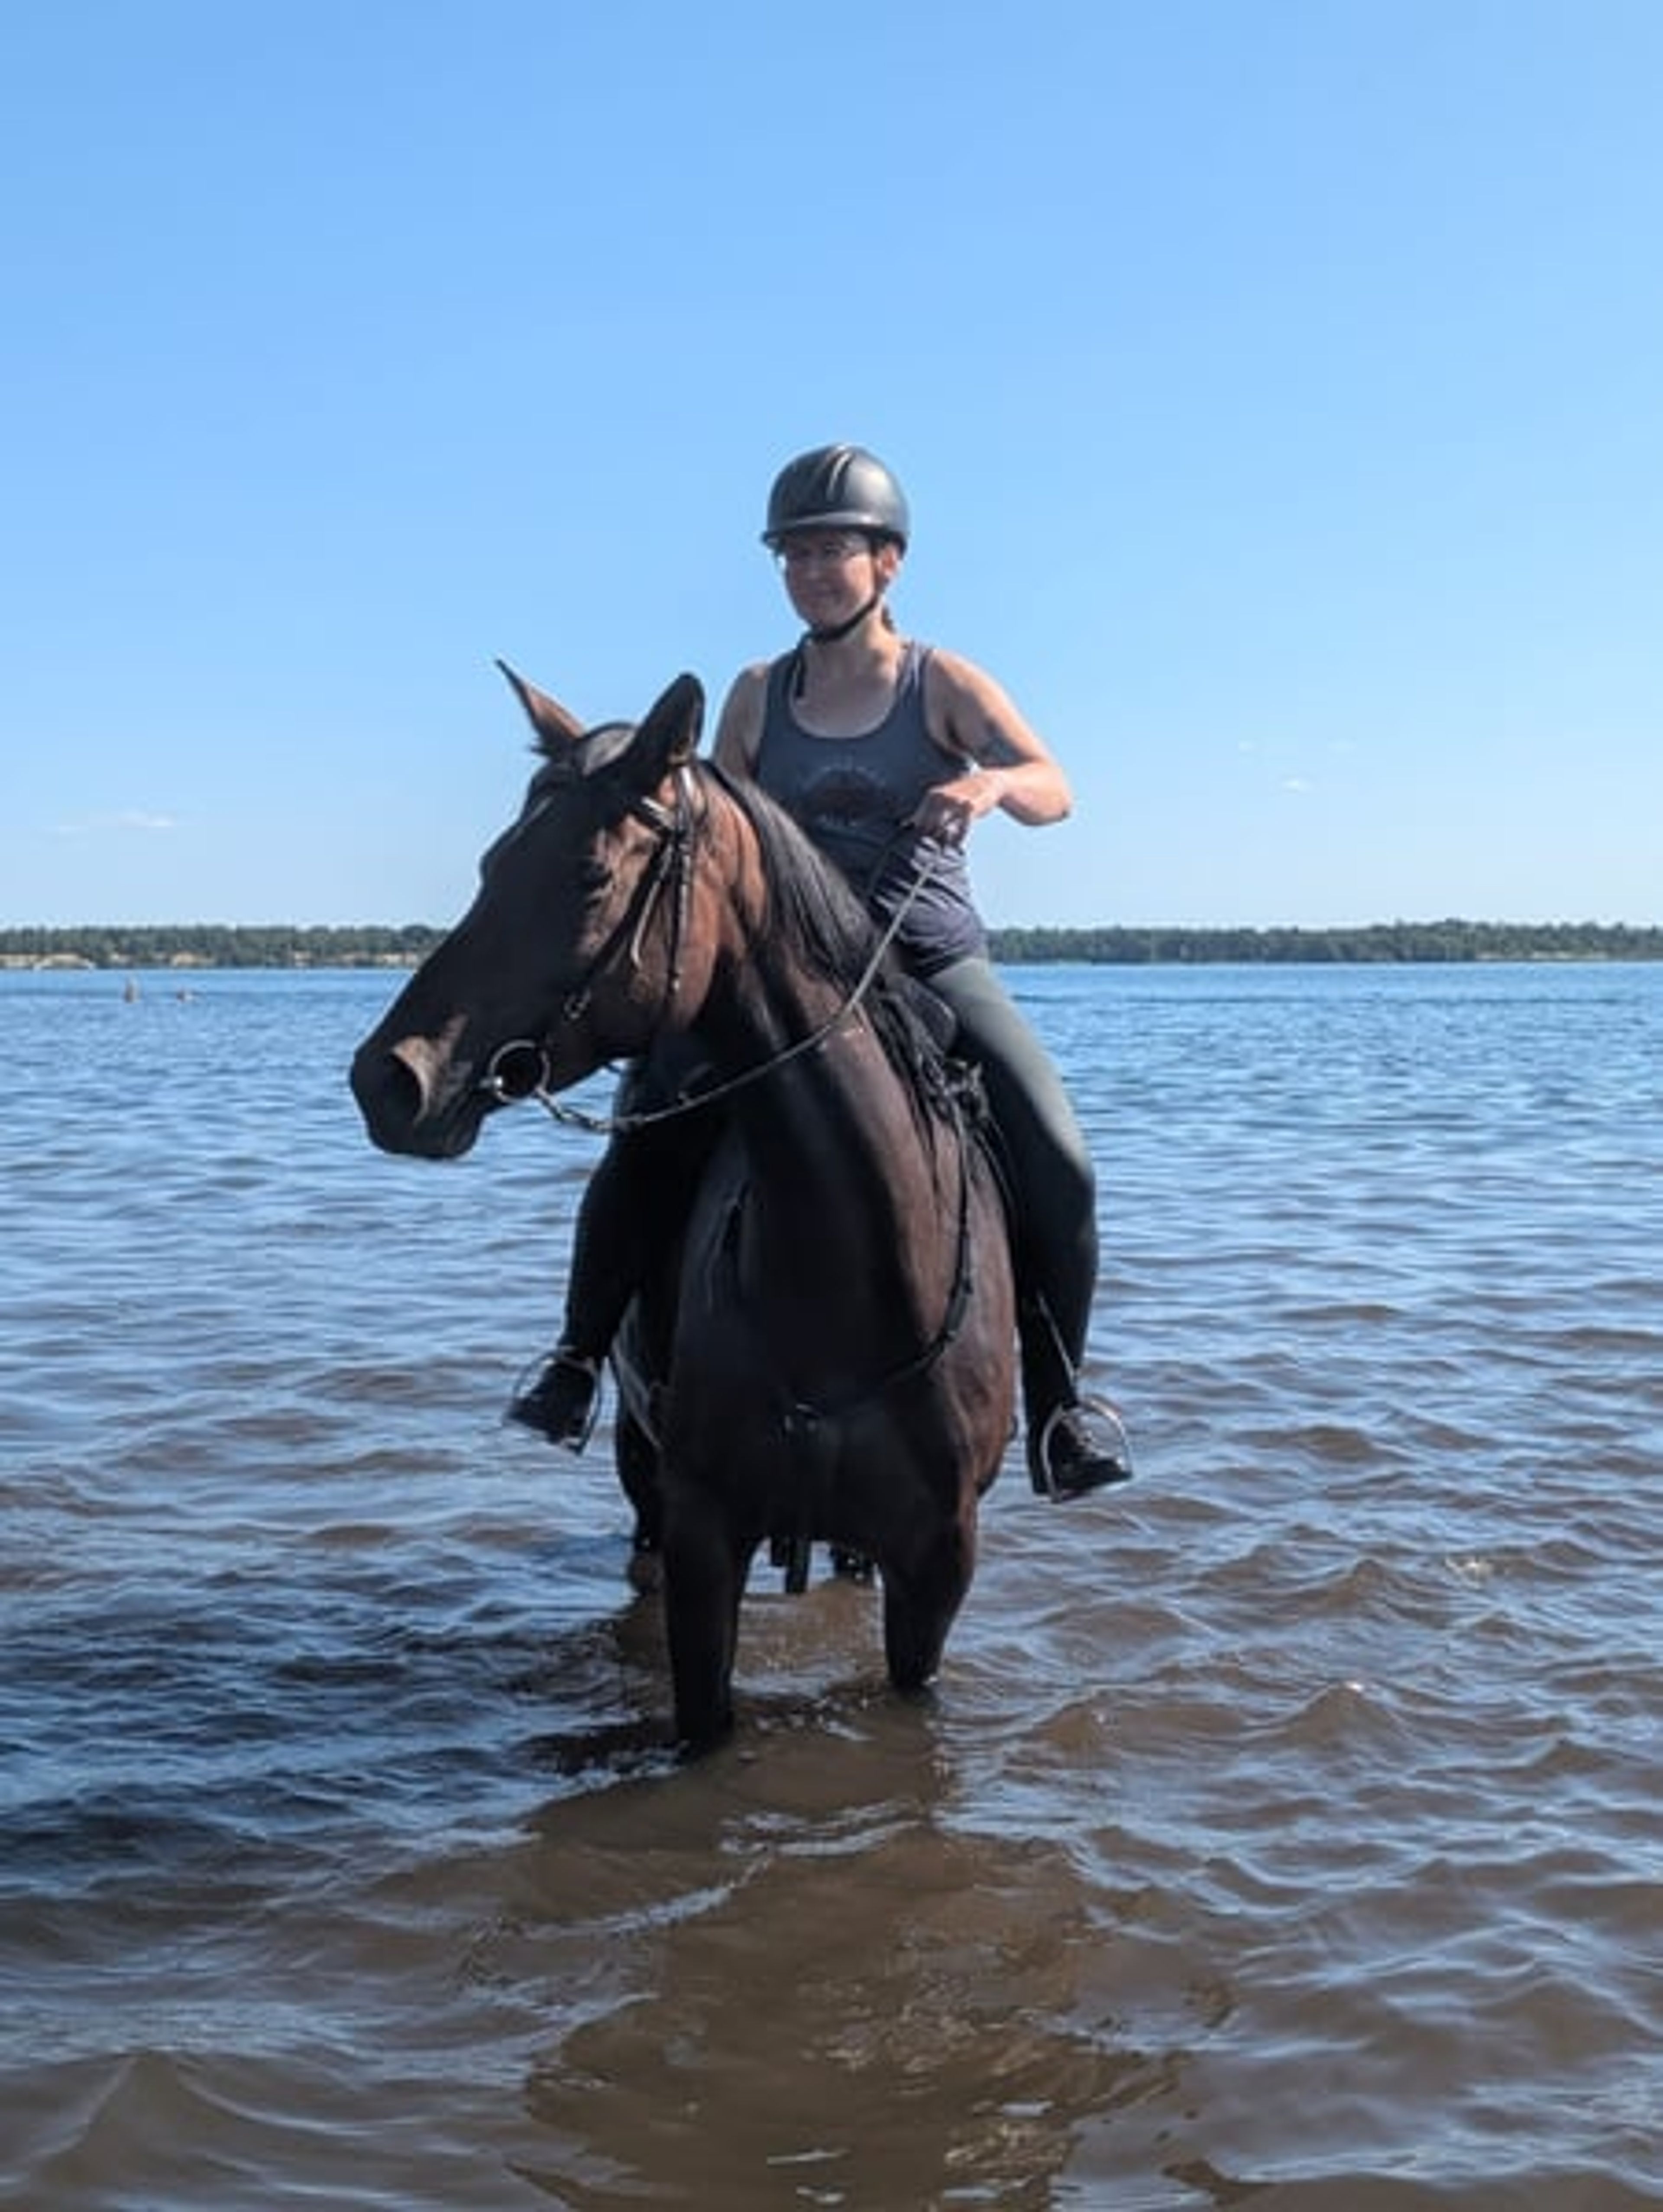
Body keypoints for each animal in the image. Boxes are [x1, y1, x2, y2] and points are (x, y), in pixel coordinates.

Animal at [349, 666, 1017, 1750]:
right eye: (493, 863)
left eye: (590, 876)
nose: (389, 1080)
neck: (853, 1272)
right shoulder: (705, 1536)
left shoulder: (937, 1563)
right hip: (642, 1468)